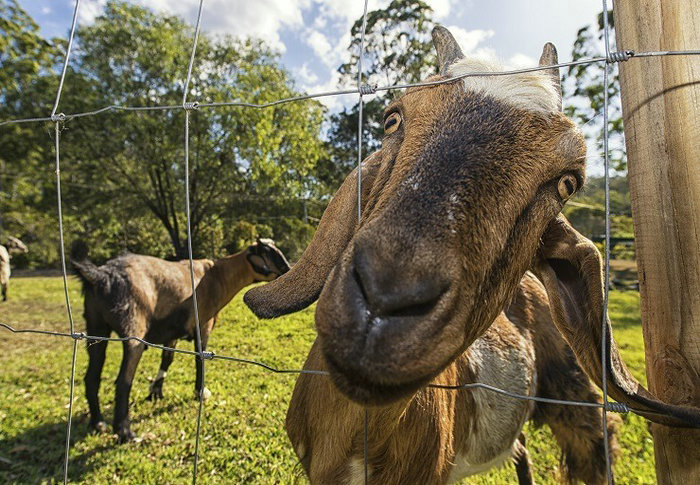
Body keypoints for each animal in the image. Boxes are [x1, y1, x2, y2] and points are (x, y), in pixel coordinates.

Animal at [71, 238, 290, 442]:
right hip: (133, 328)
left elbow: (167, 359)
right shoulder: (203, 324)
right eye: (269, 253)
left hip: (96, 325)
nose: (287, 270)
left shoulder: (172, 333)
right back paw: (126, 433)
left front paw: (155, 392)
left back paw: (98, 422)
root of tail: (102, 275)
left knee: (92, 376)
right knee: (123, 381)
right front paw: (200, 391)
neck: (217, 276)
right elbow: (200, 358)